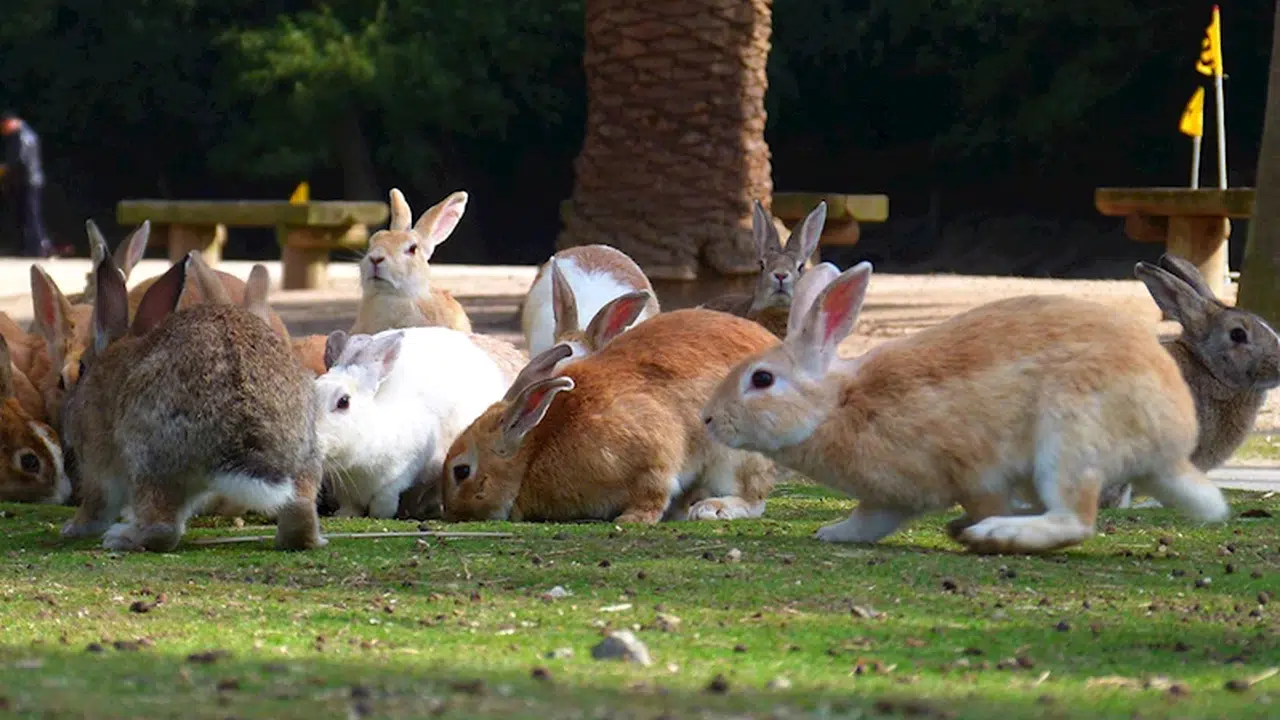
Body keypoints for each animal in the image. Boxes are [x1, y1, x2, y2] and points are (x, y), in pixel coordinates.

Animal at [59, 252, 325, 552]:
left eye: (81, 367)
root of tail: (244, 441)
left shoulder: (96, 459)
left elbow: (97, 501)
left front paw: (74, 529)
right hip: (306, 458)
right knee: (300, 512)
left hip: (149, 458)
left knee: (162, 528)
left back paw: (122, 538)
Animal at [314, 324, 513, 520]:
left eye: (343, 402)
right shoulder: (343, 489)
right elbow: (349, 505)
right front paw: (343, 515)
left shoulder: (401, 474)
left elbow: (384, 502)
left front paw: (382, 513)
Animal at [440, 307, 780, 525]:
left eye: (462, 471)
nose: (454, 513)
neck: (534, 454)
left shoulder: (653, 455)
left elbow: (654, 490)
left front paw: (632, 519)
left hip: (734, 456)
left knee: (754, 500)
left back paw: (712, 509)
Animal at [701, 261, 1229, 554]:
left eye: (762, 379)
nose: (707, 419)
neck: (838, 406)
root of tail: (1170, 445)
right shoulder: (889, 497)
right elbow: (869, 520)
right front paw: (832, 533)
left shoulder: (973, 471)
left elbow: (983, 496)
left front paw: (984, 528)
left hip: (1069, 440)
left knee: (1074, 519)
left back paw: (997, 534)